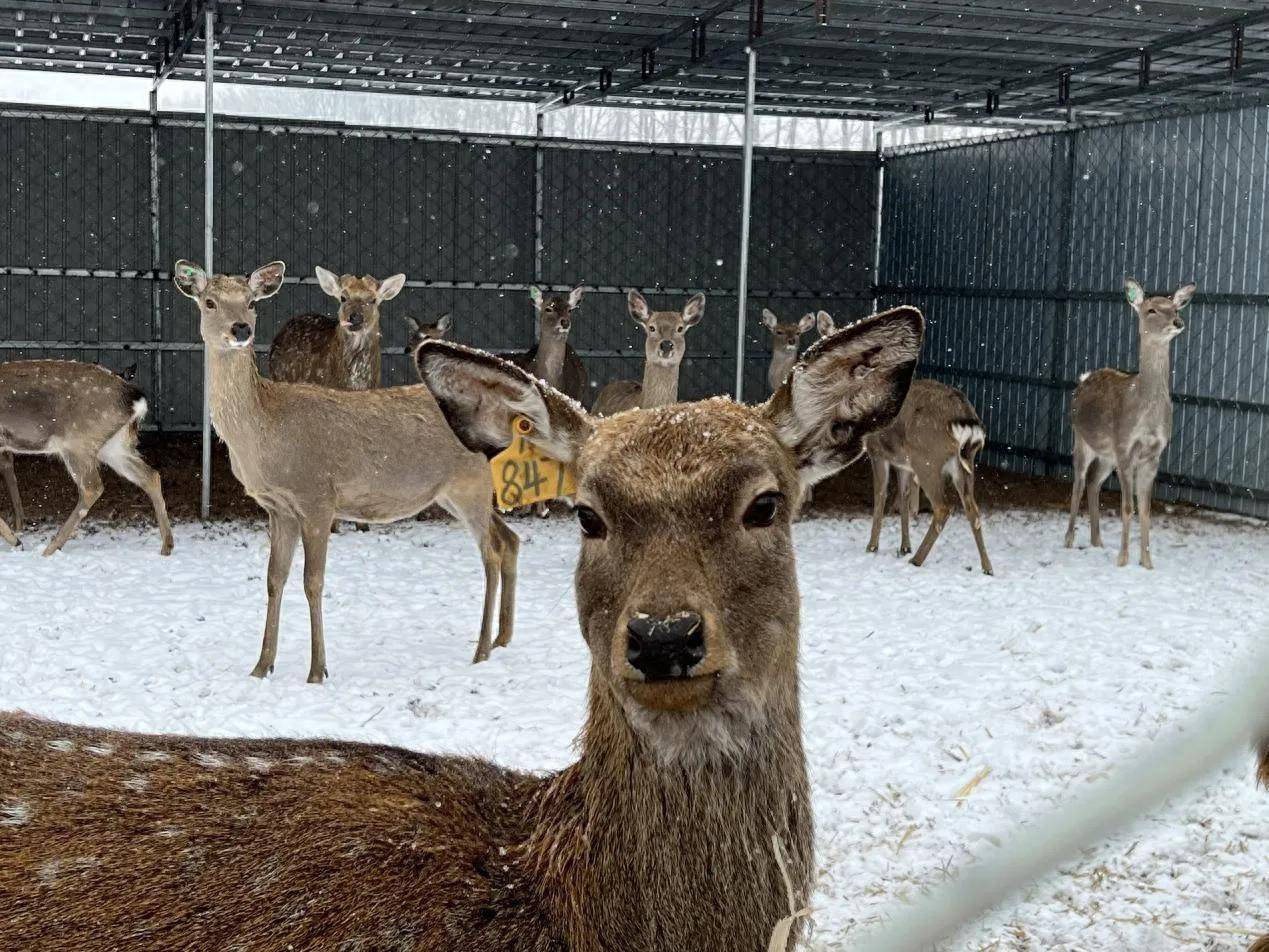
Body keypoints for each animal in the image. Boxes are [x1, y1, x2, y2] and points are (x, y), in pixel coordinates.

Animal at [0, 359, 173, 557]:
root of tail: (136, 400)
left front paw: (16, 541)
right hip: (114, 446)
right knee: (151, 476)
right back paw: (167, 546)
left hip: (77, 443)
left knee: (92, 488)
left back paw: (49, 549)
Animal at [819, 310, 992, 575]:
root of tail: (964, 415)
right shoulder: (902, 461)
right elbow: (903, 496)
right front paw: (903, 547)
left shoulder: (878, 452)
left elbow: (880, 496)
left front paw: (873, 546)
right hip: (964, 463)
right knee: (973, 510)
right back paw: (987, 567)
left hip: (928, 458)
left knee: (944, 507)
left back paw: (917, 560)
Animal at [1065, 278, 1192, 569]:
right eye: (1152, 310)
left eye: (1174, 307)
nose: (1178, 322)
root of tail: (1084, 379)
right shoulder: (1125, 446)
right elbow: (1127, 506)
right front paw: (1123, 559)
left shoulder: (1153, 454)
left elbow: (1145, 508)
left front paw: (1146, 561)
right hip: (1081, 438)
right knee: (1078, 482)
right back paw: (1068, 539)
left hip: (1106, 454)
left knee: (1093, 483)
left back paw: (1097, 541)